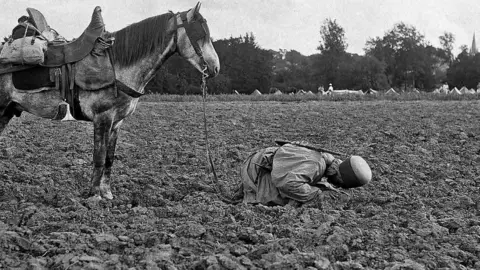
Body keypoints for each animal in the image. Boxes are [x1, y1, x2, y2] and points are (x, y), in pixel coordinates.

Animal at [0, 2, 221, 200]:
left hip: (8, 111)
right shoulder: (103, 118)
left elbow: (109, 159)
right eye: (200, 34)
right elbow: (98, 157)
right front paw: (94, 196)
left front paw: (107, 194)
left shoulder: (117, 122)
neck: (118, 67)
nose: (215, 68)